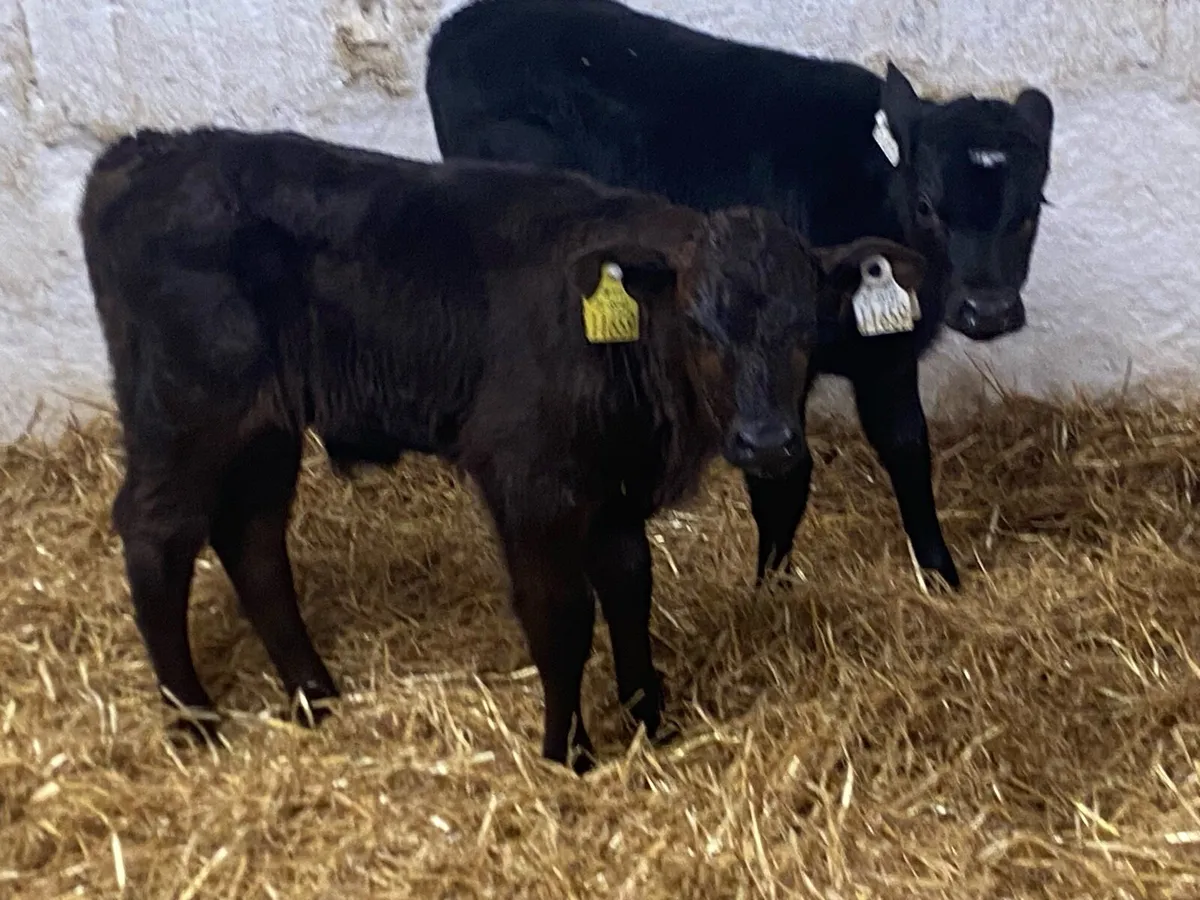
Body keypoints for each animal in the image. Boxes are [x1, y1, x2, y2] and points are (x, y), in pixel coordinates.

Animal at [79, 126, 926, 772]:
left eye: (806, 327)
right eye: (698, 328)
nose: (766, 440)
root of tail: (145, 151)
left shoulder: (613, 490)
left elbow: (631, 590)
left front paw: (651, 722)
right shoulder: (530, 481)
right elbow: (561, 616)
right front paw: (568, 754)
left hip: (264, 428)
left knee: (252, 539)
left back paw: (314, 694)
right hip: (184, 413)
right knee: (157, 535)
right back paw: (195, 721)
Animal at [424, 0, 1056, 590]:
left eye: (1032, 208)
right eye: (927, 204)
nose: (987, 310)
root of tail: (463, 25)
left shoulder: (887, 357)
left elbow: (907, 450)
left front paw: (941, 574)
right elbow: (783, 473)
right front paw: (768, 586)